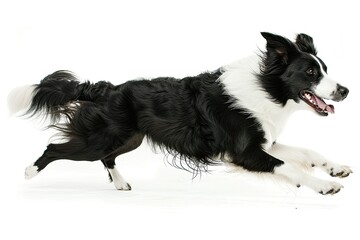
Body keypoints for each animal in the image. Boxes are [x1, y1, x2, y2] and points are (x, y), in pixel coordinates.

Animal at [9, 31, 352, 194]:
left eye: (324, 69)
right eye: (311, 72)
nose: (345, 91)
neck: (265, 86)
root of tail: (108, 89)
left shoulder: (265, 142)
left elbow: (308, 152)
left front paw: (336, 169)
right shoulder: (244, 152)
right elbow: (290, 167)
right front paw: (325, 186)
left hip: (128, 137)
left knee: (108, 157)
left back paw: (120, 183)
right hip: (99, 138)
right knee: (55, 148)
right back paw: (28, 172)